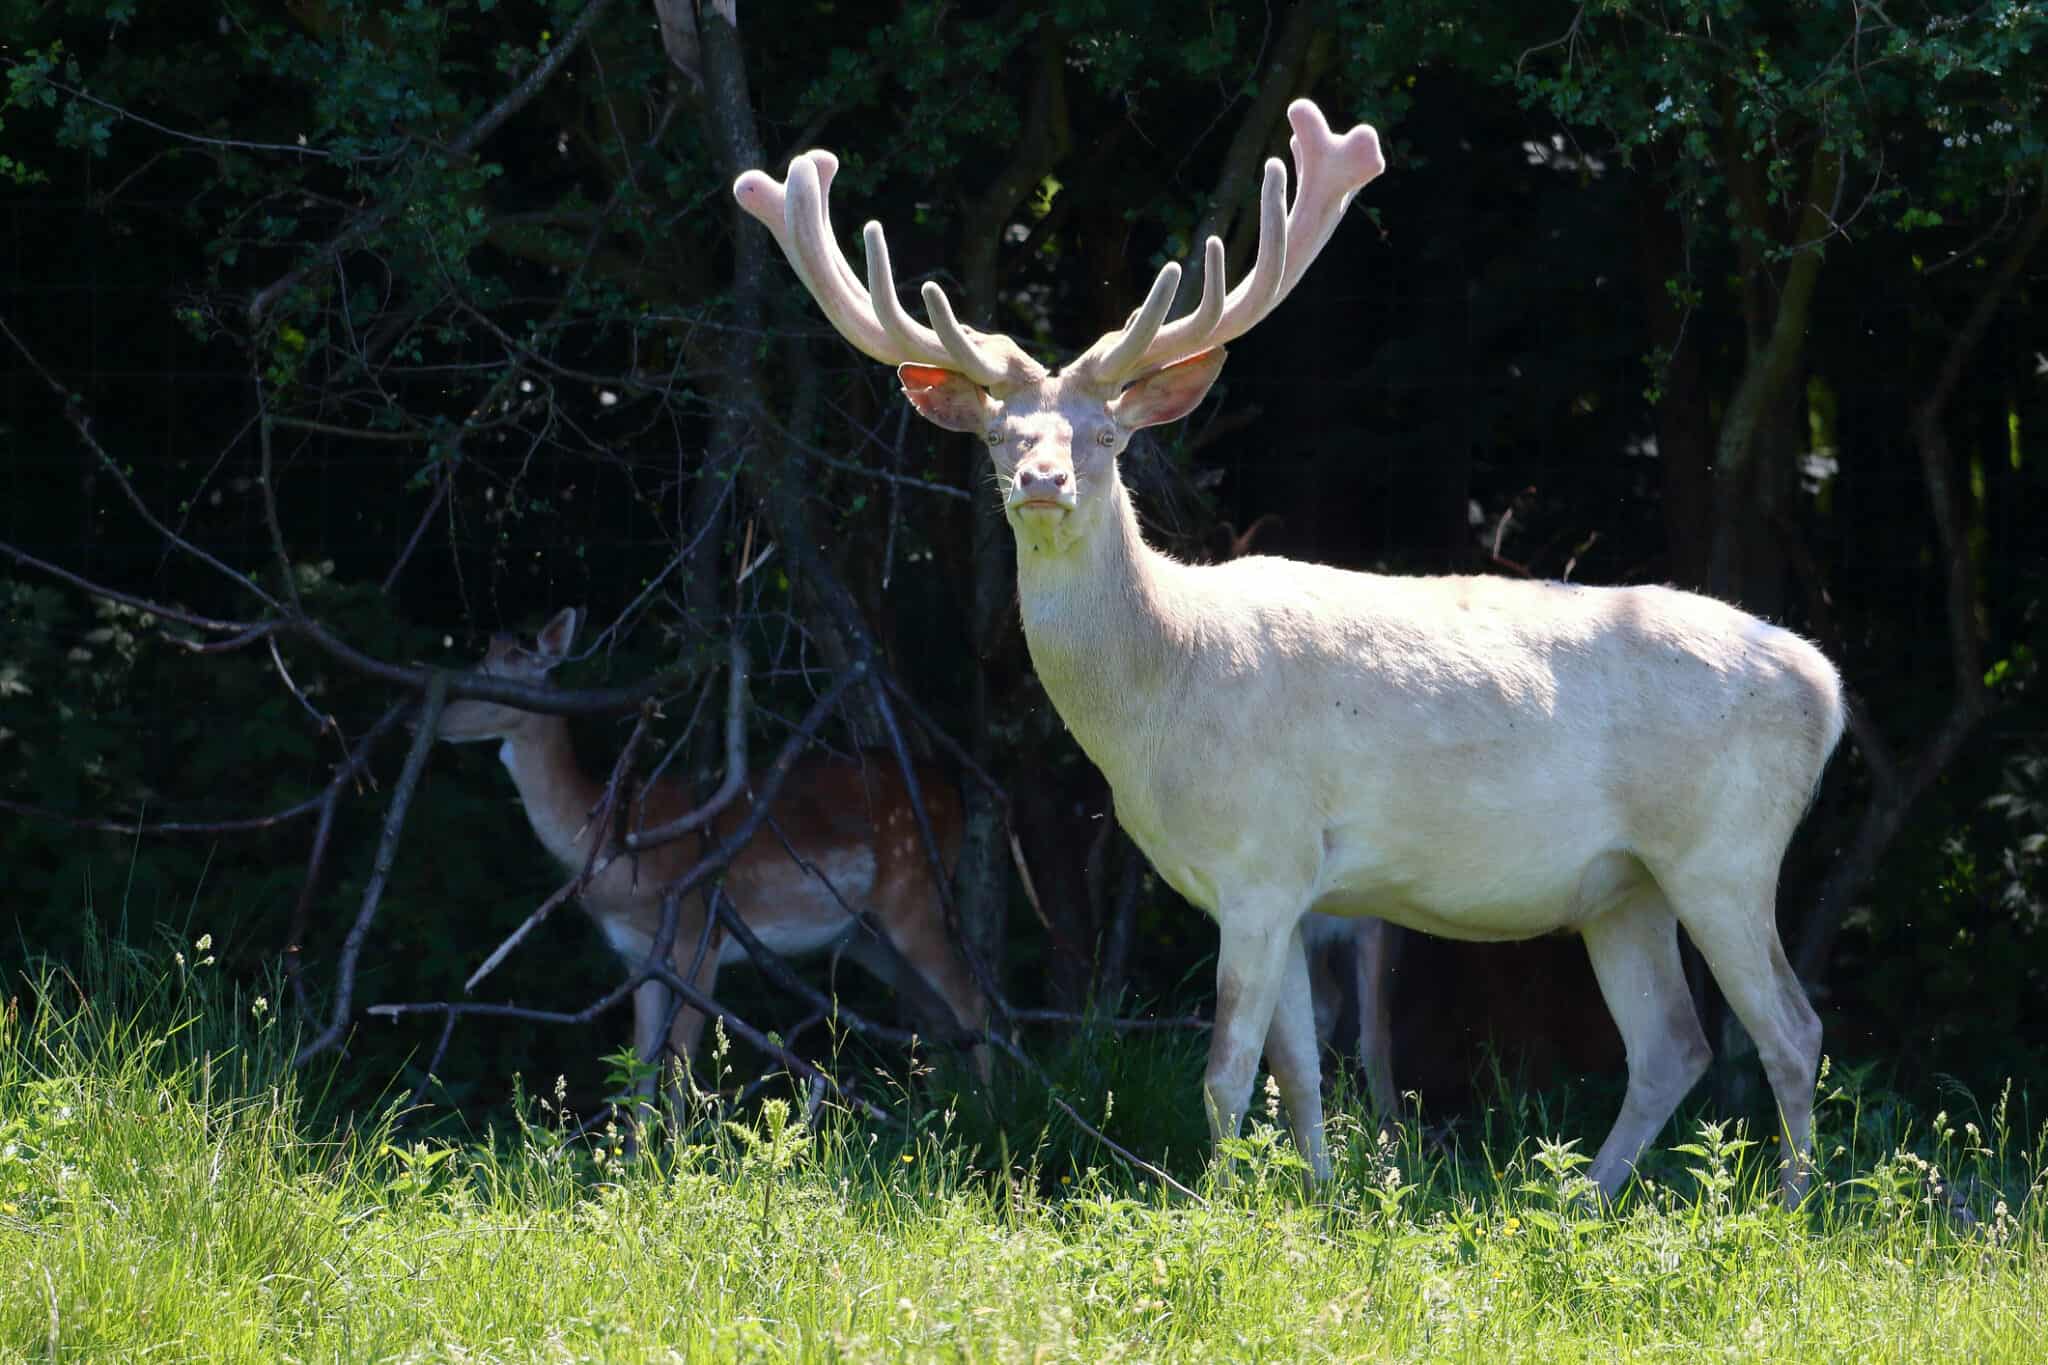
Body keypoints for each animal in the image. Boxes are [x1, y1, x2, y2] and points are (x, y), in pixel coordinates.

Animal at [438, 613, 991, 1105]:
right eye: (476, 663)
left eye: (497, 683)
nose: (437, 720)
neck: (615, 847)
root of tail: (952, 789)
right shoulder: (637, 956)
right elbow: (641, 1072)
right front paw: (637, 1157)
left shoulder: (696, 933)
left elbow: (679, 1067)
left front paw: (682, 1153)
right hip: (864, 936)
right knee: (937, 1018)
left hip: (914, 892)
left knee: (973, 1003)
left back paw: (991, 1110)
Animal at [733, 98, 1843, 1203]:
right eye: (1000, 437)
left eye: (1105, 436)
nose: (1042, 482)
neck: (1160, 696)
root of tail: (1825, 688)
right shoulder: (1293, 884)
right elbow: (1299, 1074)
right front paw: (1315, 1198)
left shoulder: (1261, 856)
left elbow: (1227, 1072)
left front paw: (1215, 1208)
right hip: (1622, 884)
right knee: (1670, 1044)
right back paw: (1581, 1199)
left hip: (1725, 848)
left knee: (1791, 1030)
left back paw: (1783, 1212)